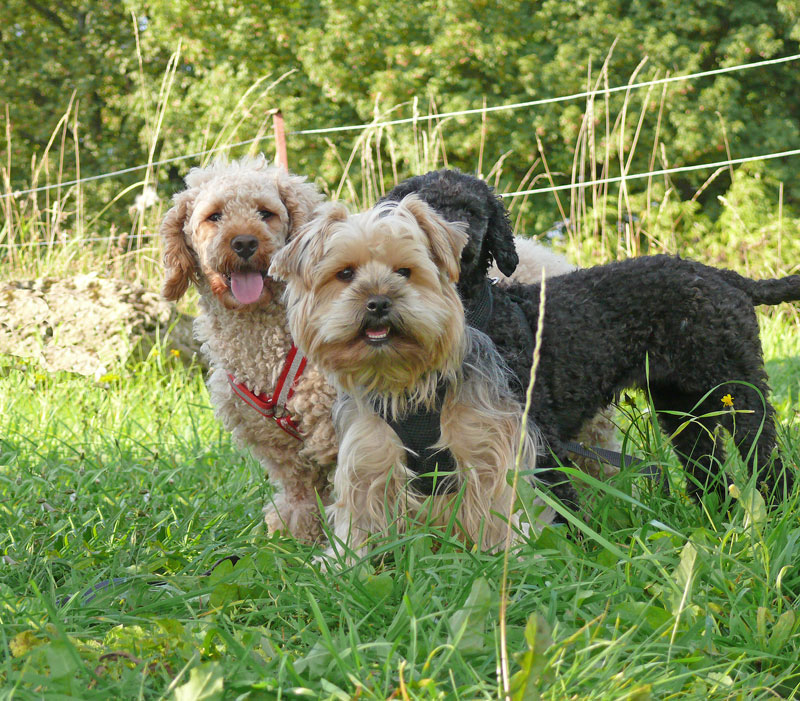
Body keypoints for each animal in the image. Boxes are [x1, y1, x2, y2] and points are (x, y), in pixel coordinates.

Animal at [159, 155, 339, 542]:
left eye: (265, 213)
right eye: (214, 216)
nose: (244, 242)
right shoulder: (278, 444)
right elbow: (301, 493)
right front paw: (295, 537)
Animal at [269, 195, 554, 556]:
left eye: (404, 272)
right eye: (345, 273)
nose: (377, 301)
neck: (402, 380)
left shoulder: (485, 441)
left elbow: (499, 503)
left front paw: (508, 554)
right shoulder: (367, 450)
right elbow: (357, 517)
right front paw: (344, 561)